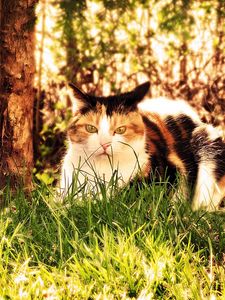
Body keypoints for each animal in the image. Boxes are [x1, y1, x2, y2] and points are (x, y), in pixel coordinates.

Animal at [59, 81, 225, 210]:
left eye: (120, 130)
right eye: (91, 128)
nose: (104, 144)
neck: (102, 170)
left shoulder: (171, 174)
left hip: (205, 140)